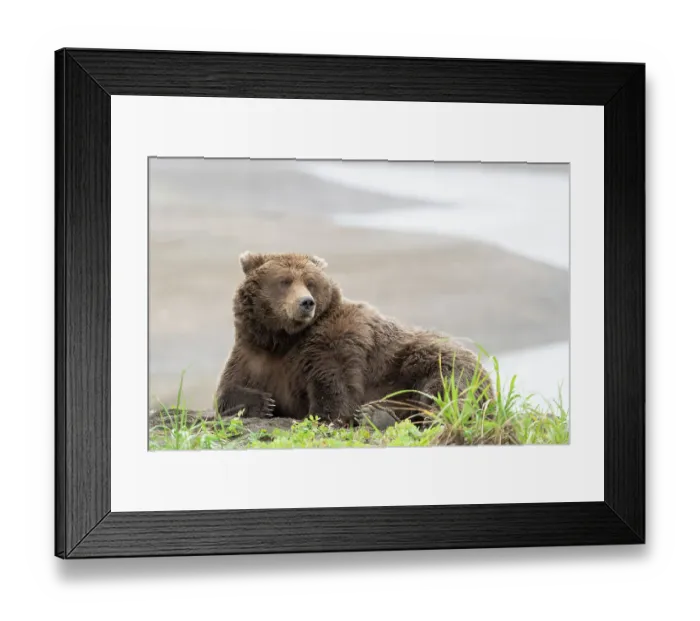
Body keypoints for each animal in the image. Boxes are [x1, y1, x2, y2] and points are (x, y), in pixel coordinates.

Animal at [214, 252, 494, 429]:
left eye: (310, 282)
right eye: (284, 281)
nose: (306, 302)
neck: (284, 339)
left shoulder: (333, 341)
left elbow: (335, 391)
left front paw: (322, 417)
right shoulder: (253, 352)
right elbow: (227, 389)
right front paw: (263, 403)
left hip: (434, 360)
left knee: (446, 389)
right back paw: (378, 415)